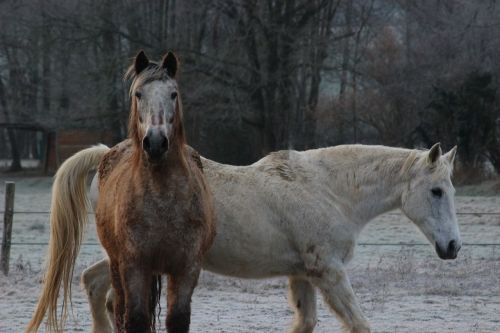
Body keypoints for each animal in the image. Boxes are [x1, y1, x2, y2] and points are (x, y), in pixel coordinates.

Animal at [26, 50, 215, 332]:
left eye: (173, 93)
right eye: (138, 94)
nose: (155, 143)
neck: (164, 201)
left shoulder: (186, 269)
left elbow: (177, 320)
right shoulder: (134, 266)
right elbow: (135, 319)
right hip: (116, 264)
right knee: (116, 306)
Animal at [71, 141, 458, 330]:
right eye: (437, 190)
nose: (452, 247)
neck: (327, 190)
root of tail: (107, 160)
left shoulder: (303, 275)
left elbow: (305, 323)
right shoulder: (329, 273)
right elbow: (360, 324)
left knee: (94, 285)